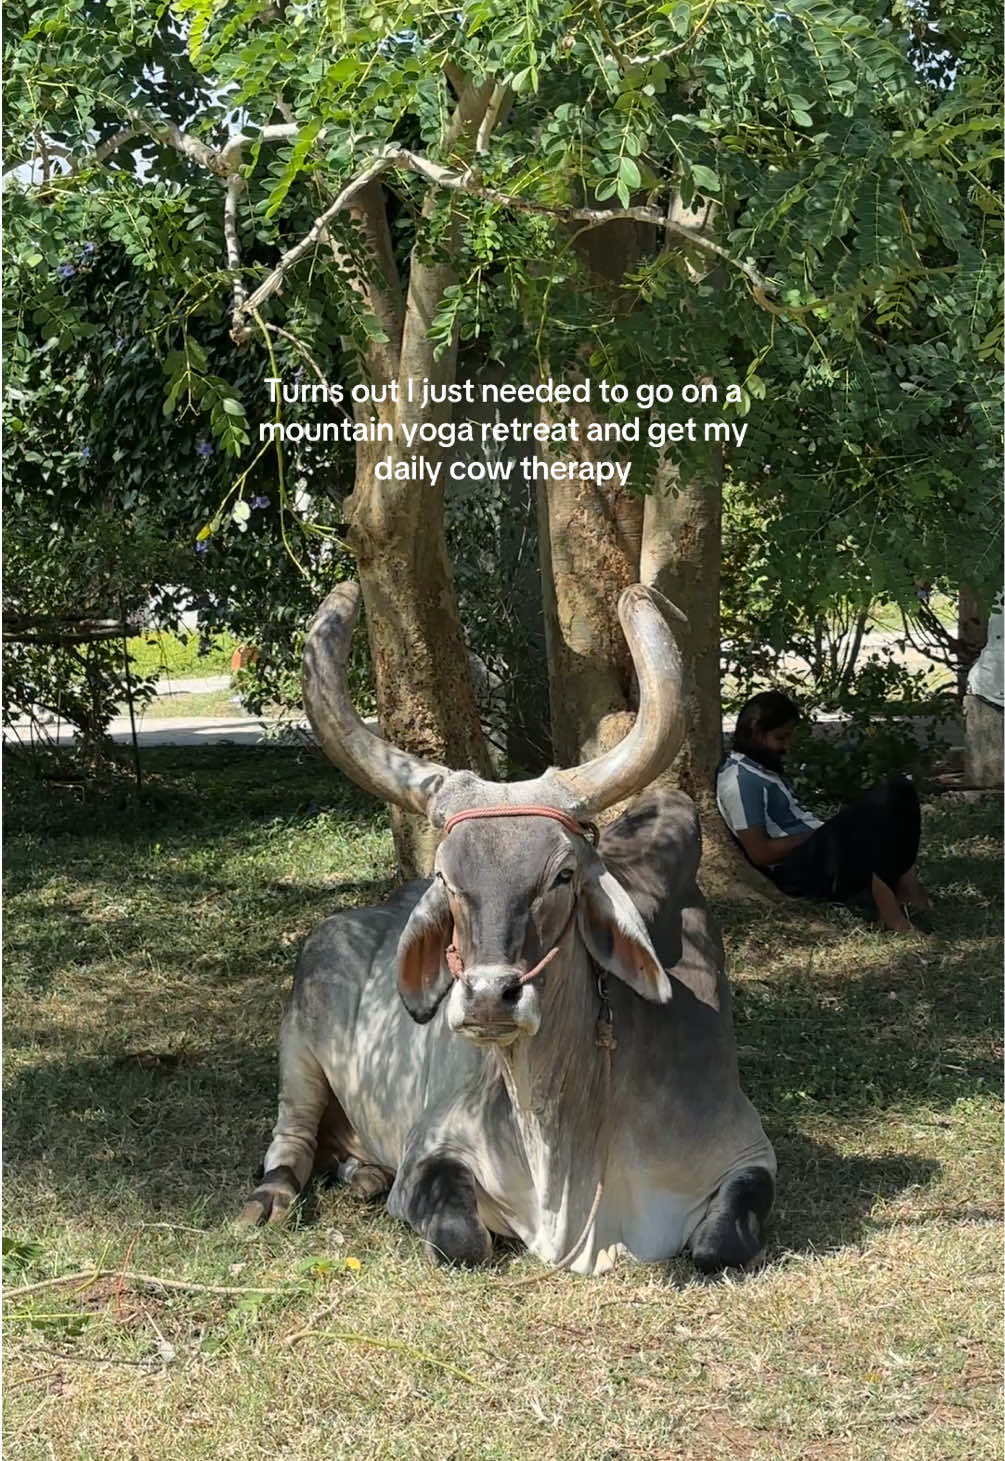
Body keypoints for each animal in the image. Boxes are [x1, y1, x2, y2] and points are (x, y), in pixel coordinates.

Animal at [239, 583, 776, 1275]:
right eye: (445, 877)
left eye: (564, 874)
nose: (490, 998)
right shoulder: (436, 1147)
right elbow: (462, 1236)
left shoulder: (746, 1153)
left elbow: (719, 1244)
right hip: (299, 1048)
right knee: (292, 1138)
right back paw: (272, 1197)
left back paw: (364, 1174)